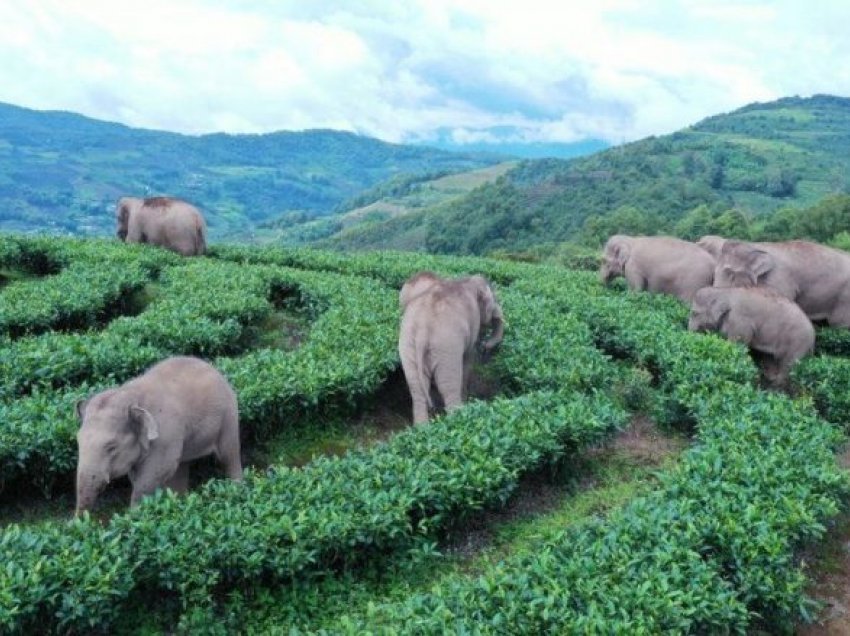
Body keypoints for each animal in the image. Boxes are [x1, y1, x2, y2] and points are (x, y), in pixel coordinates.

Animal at [74, 356, 240, 516]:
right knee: (181, 465)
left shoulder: (165, 436)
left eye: (111, 446)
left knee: (229, 456)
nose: (81, 520)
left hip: (229, 417)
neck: (130, 395)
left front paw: (135, 516)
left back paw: (237, 488)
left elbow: (153, 475)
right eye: (78, 442)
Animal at [398, 270, 504, 424]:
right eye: (493, 300)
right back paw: (459, 417)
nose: (486, 346)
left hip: (407, 345)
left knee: (417, 389)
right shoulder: (473, 321)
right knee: (448, 386)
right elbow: (468, 357)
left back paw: (422, 426)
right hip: (446, 347)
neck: (466, 280)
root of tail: (423, 329)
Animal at [684, 286, 812, 388]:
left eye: (694, 313)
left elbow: (737, 345)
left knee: (787, 366)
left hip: (798, 342)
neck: (725, 292)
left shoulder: (739, 322)